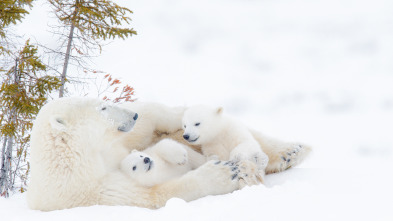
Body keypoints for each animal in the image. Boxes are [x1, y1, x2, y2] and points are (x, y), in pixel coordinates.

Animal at [26, 97, 258, 212]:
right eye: (102, 107)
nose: (132, 116)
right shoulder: (87, 189)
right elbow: (148, 194)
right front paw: (221, 173)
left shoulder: (112, 147)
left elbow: (144, 128)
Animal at [182, 104, 310, 175]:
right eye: (184, 125)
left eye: (197, 123)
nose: (186, 135)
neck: (219, 132)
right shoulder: (211, 144)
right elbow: (214, 156)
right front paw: (215, 159)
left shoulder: (233, 131)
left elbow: (246, 143)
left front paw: (236, 156)